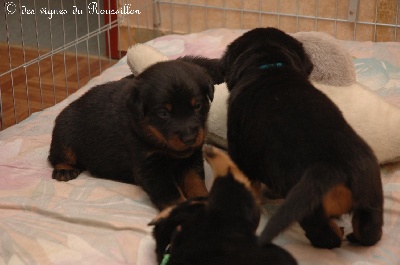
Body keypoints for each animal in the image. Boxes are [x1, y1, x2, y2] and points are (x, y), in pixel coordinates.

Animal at [48, 57, 223, 208]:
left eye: (198, 106)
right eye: (163, 113)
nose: (190, 138)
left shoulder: (191, 159)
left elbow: (195, 182)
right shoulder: (150, 167)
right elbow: (171, 195)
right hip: (65, 132)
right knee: (58, 155)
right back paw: (64, 170)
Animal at [222, 28, 384, 248]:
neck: (269, 66)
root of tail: (335, 166)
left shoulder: (240, 154)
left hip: (305, 200)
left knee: (326, 235)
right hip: (371, 191)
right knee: (369, 230)